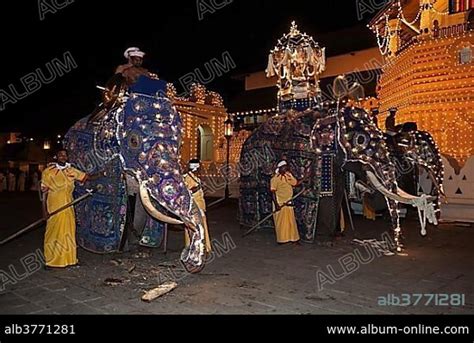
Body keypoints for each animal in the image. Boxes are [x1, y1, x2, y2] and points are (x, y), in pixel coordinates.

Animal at [64, 76, 206, 274]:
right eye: (133, 141)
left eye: (180, 144)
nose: (187, 257)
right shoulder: (109, 163)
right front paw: (115, 252)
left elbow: (147, 206)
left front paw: (143, 250)